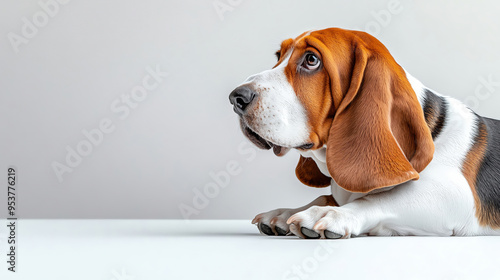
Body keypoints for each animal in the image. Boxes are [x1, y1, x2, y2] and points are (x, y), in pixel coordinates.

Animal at [229, 27, 500, 240]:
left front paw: (331, 213)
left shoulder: (454, 194)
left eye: (311, 59)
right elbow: (325, 197)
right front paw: (285, 213)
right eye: (278, 56)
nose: (236, 98)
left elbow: (376, 200)